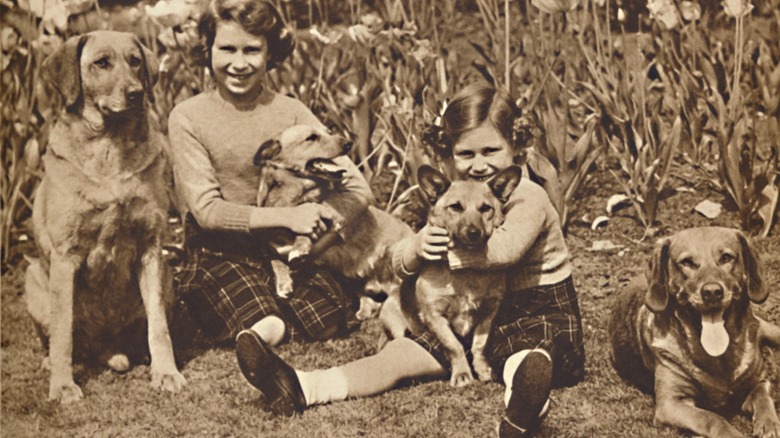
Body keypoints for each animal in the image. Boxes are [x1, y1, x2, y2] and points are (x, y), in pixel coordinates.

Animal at [24, 30, 186, 404]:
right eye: (102, 63)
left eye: (135, 61)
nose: (136, 93)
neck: (111, 145)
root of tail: (106, 347)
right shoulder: (65, 257)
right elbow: (63, 333)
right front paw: (62, 385)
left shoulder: (151, 248)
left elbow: (159, 326)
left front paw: (166, 372)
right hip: (32, 279)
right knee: (58, 338)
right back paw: (50, 363)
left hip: (169, 277)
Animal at [254, 125, 414, 324]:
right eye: (312, 137)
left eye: (328, 132)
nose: (349, 143)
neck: (291, 199)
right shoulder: (272, 246)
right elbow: (276, 262)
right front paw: (284, 284)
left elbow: (306, 229)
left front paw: (299, 248)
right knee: (374, 303)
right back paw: (365, 310)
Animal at [402, 163, 524, 386]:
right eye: (455, 207)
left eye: (485, 208)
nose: (474, 233)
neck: (466, 272)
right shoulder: (434, 315)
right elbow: (454, 345)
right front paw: (462, 373)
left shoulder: (489, 312)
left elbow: (479, 344)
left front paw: (482, 368)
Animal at [608, 228, 780, 436]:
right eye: (687, 262)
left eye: (726, 257)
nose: (712, 292)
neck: (720, 356)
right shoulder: (670, 404)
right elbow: (713, 419)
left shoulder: (758, 380)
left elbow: (764, 396)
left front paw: (769, 423)